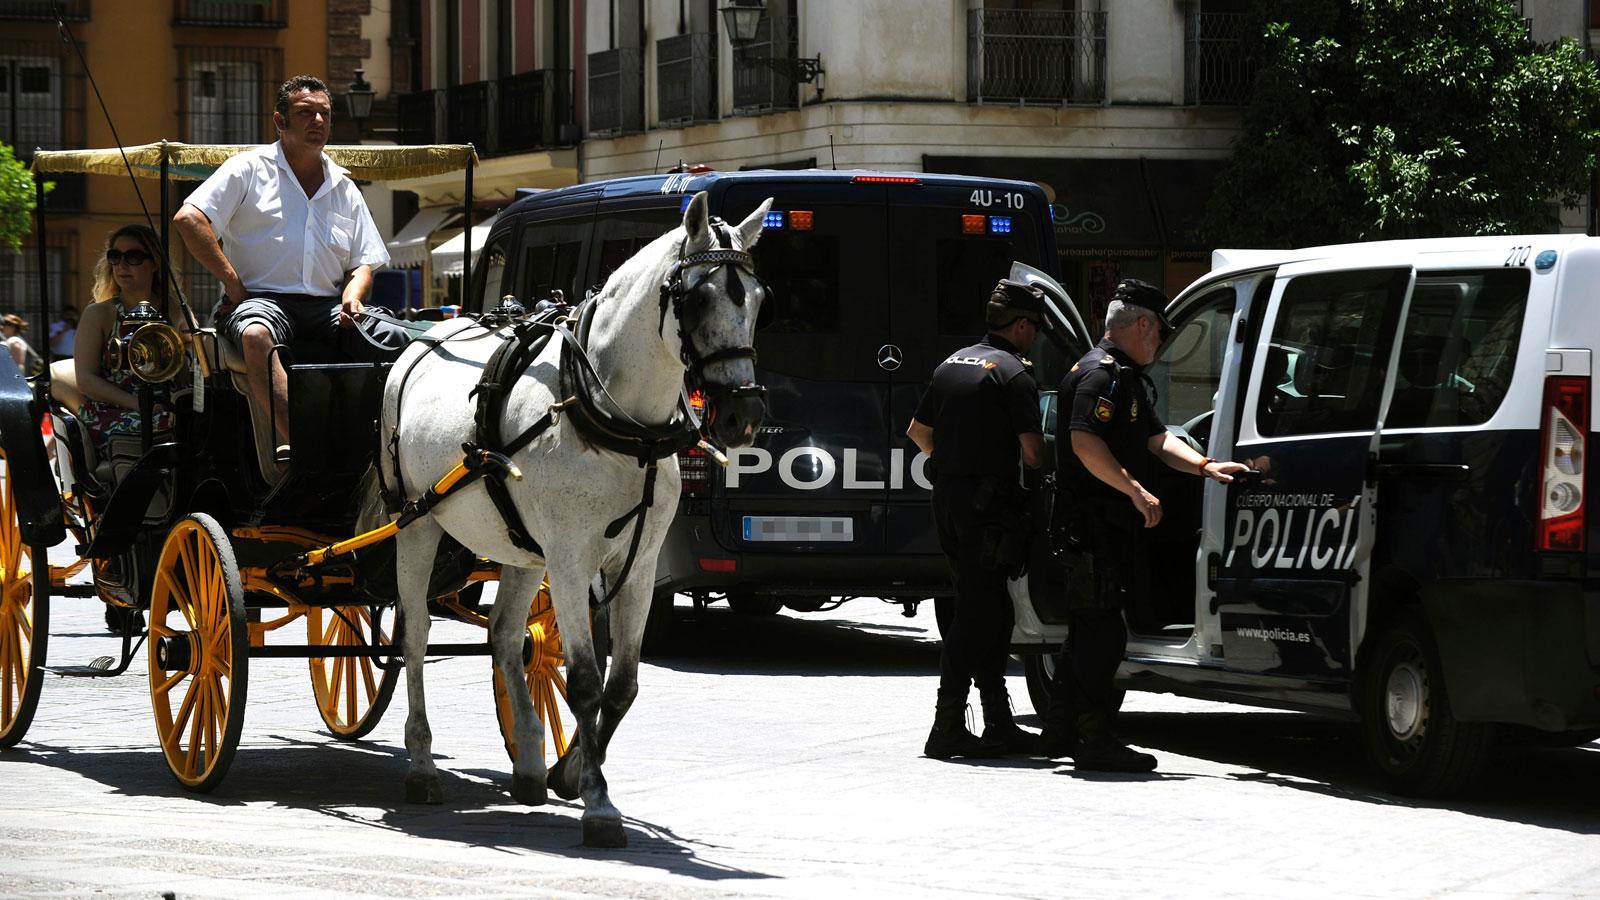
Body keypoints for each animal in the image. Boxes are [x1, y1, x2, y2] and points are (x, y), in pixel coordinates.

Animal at [377, 192, 771, 845]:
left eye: (759, 298)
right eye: (697, 298)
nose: (745, 416)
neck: (617, 425)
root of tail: (421, 338)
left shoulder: (638, 566)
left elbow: (622, 684)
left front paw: (571, 770)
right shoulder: (568, 560)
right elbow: (585, 681)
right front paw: (598, 801)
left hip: (517, 548)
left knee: (505, 636)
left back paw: (530, 764)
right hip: (416, 525)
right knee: (414, 637)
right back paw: (422, 764)